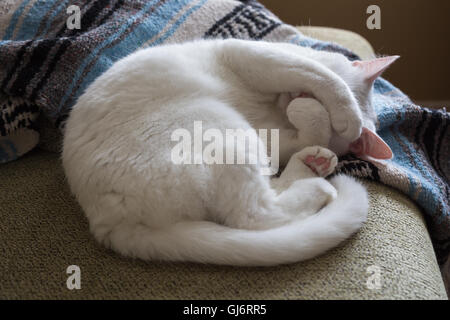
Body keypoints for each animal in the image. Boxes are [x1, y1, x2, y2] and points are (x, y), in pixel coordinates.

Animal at [61, 38, 396, 266]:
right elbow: (324, 78)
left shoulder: (273, 137)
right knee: (255, 213)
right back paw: (316, 177)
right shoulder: (258, 57)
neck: (273, 111)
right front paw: (343, 113)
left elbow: (309, 128)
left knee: (257, 210)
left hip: (232, 135)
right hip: (223, 126)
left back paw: (313, 167)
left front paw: (316, 119)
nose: (295, 98)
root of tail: (107, 221)